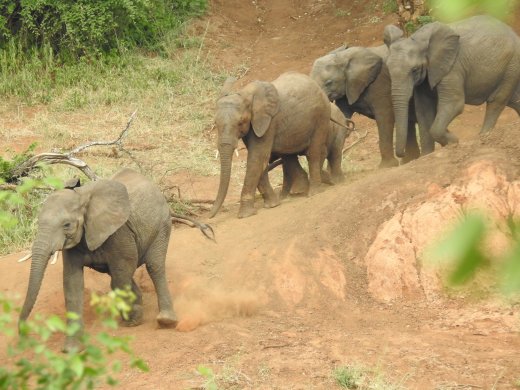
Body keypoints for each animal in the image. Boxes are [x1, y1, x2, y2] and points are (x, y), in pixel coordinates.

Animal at [18, 169, 179, 352]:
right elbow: (72, 284)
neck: (82, 198)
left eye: (67, 225)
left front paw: (133, 319)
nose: (23, 333)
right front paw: (71, 350)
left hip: (162, 224)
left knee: (153, 266)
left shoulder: (119, 232)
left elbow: (123, 271)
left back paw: (166, 321)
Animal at [210, 72, 330, 219]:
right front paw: (273, 205)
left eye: (240, 122)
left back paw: (313, 192)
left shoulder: (268, 122)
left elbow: (257, 157)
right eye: (215, 123)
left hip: (322, 116)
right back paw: (299, 191)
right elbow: (259, 160)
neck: (244, 94)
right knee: (288, 156)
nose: (210, 216)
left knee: (313, 152)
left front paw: (245, 215)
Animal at [382, 15, 520, 155]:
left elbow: (454, 103)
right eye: (388, 69)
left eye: (414, 69)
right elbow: (423, 110)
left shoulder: (452, 68)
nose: (403, 154)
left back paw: (484, 136)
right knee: (514, 100)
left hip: (512, 65)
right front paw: (427, 154)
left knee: (497, 100)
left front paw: (453, 142)